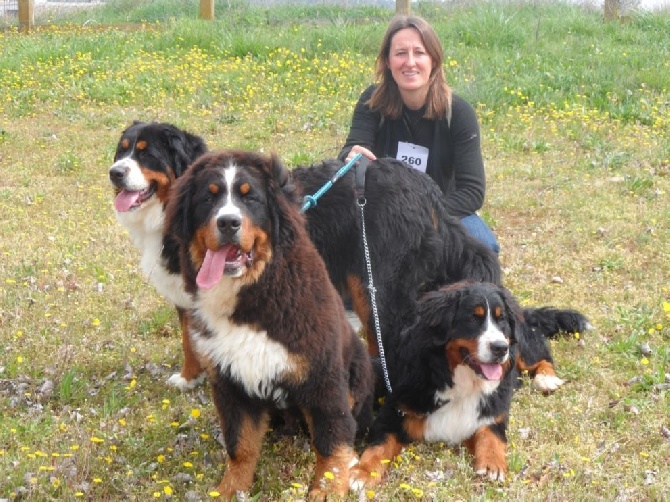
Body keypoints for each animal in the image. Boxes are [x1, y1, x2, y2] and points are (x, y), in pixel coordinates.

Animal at [162, 148, 372, 498]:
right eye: (209, 197)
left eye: (251, 198)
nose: (228, 222)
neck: (253, 298)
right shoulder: (230, 380)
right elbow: (240, 445)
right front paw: (231, 489)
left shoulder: (323, 375)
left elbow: (332, 437)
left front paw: (328, 487)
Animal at [350, 282, 528, 486]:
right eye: (473, 318)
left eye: (501, 319)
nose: (500, 348)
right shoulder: (395, 410)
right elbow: (379, 444)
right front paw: (363, 472)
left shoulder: (493, 412)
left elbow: (492, 434)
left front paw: (492, 464)